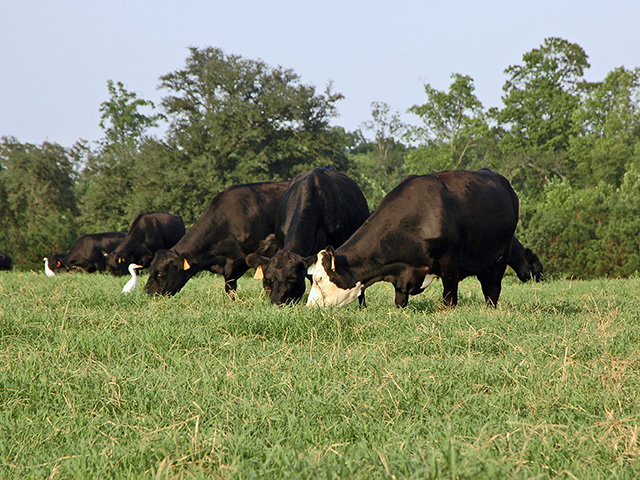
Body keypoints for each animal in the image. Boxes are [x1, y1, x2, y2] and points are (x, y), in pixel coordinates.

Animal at [304, 169, 520, 308]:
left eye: (319, 279)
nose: (310, 307)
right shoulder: (402, 277)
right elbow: (400, 301)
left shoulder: (450, 262)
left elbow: (449, 298)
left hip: (501, 255)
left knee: (492, 290)